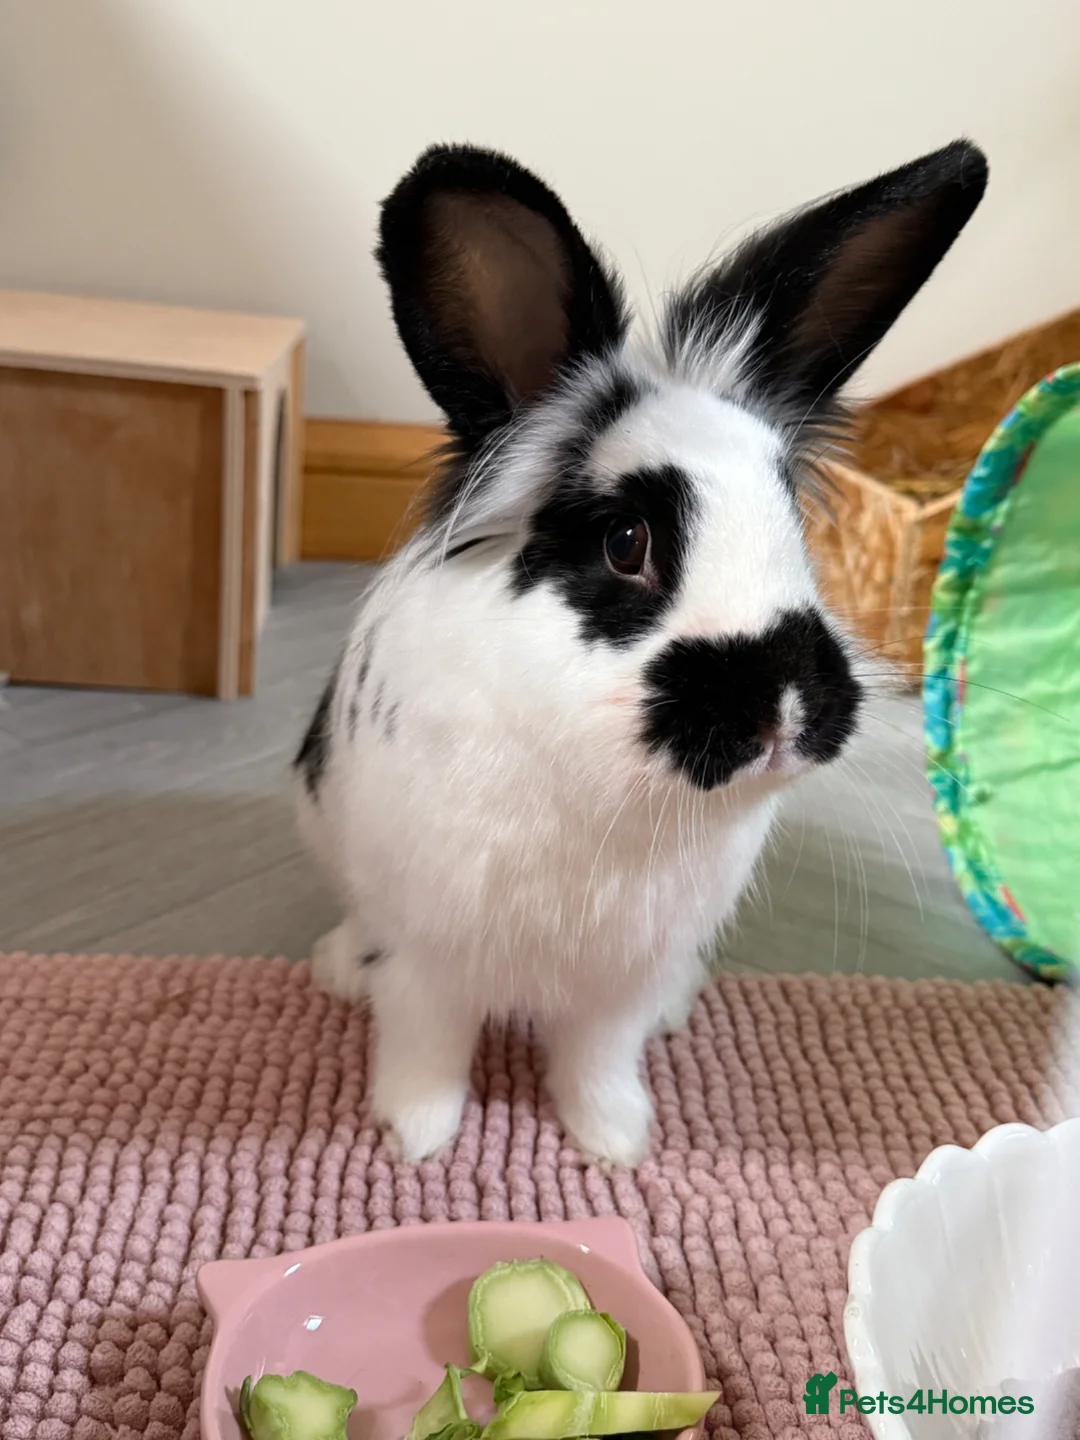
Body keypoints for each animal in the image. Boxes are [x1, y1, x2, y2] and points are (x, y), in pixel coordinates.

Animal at [294, 138, 987, 1166]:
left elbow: (598, 1058)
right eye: (627, 543)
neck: (604, 783)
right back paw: (337, 969)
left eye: (793, 524)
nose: (785, 705)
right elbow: (426, 1047)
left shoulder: (623, 974)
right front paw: (417, 1138)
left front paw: (614, 1144)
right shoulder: (427, 955)